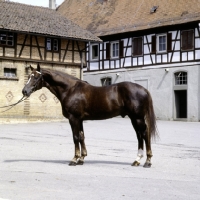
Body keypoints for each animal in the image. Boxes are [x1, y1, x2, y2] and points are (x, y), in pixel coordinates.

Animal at [22, 64, 158, 167]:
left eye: (36, 77)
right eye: (29, 76)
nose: (24, 91)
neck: (70, 89)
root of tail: (144, 90)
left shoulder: (73, 118)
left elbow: (75, 137)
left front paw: (74, 159)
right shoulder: (80, 119)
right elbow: (82, 137)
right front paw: (82, 159)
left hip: (138, 118)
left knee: (144, 135)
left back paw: (147, 161)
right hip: (133, 118)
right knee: (139, 136)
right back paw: (137, 160)